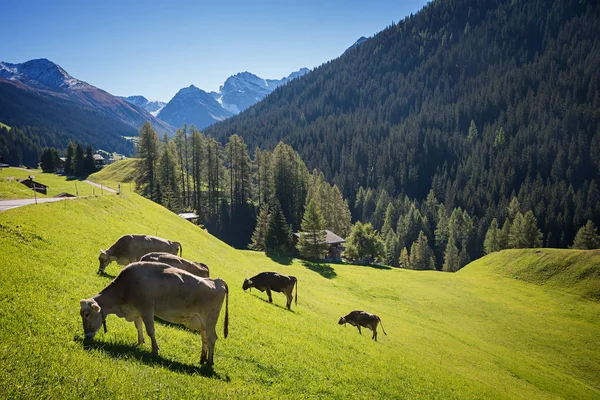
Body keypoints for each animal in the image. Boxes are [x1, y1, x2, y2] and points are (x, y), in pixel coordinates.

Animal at [79, 260, 227, 368]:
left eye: (86, 315)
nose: (87, 336)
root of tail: (216, 280)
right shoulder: (136, 310)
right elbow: (138, 326)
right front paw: (140, 341)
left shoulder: (147, 309)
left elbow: (150, 330)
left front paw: (154, 350)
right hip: (201, 322)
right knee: (205, 338)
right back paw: (202, 358)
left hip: (210, 319)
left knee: (212, 338)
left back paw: (209, 362)